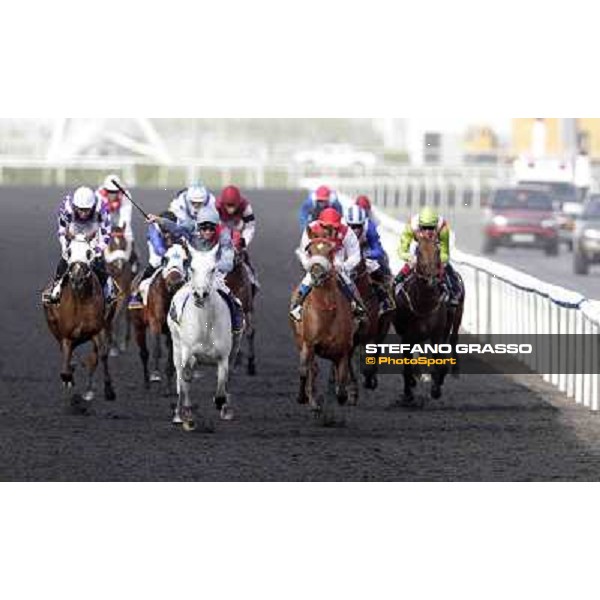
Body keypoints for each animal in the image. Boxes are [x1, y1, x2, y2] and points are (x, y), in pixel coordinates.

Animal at [43, 234, 116, 408]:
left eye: (89, 252)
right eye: (69, 251)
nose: (77, 279)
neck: (80, 300)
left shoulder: (98, 330)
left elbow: (102, 354)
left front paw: (109, 390)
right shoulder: (66, 336)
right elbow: (65, 369)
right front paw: (69, 378)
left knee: (94, 356)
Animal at [130, 243, 186, 390]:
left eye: (185, 260)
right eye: (165, 259)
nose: (175, 284)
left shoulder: (172, 329)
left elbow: (172, 357)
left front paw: (169, 387)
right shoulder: (155, 322)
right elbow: (157, 349)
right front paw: (155, 374)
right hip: (138, 326)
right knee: (144, 353)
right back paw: (146, 382)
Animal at [168, 244, 240, 432]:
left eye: (213, 269)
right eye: (192, 268)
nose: (200, 294)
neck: (205, 325)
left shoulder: (224, 356)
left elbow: (222, 383)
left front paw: (222, 405)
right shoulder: (187, 352)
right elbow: (185, 378)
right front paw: (188, 417)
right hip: (176, 346)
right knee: (180, 376)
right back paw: (178, 414)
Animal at [290, 236, 356, 422]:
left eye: (330, 252)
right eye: (310, 251)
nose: (317, 274)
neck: (326, 313)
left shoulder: (343, 350)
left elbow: (341, 381)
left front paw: (343, 396)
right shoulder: (309, 344)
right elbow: (306, 370)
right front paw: (308, 400)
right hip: (300, 341)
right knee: (310, 369)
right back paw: (309, 399)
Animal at [394, 232, 464, 406]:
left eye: (438, 250)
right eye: (418, 251)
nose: (431, 277)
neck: (425, 304)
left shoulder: (437, 334)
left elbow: (439, 360)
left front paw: (436, 389)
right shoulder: (407, 336)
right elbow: (407, 366)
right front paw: (408, 393)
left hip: (457, 314)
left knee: (453, 339)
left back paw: (453, 371)